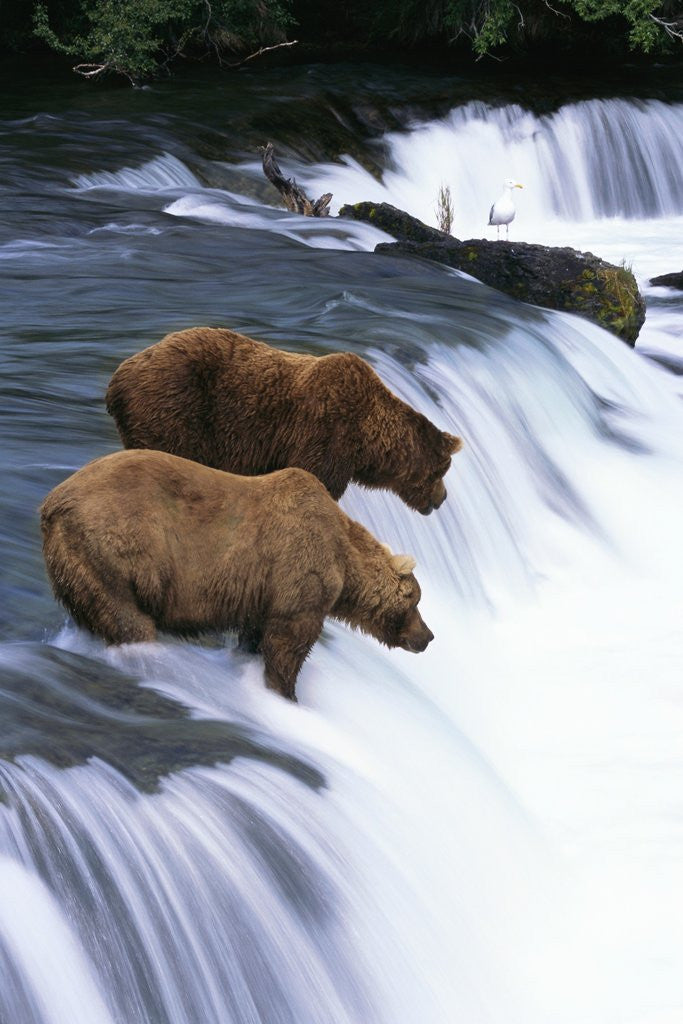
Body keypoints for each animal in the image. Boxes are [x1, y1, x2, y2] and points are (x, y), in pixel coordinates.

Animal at [40, 449, 434, 700]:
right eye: (415, 601)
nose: (427, 637)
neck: (343, 558)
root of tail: (51, 504)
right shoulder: (300, 573)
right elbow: (288, 644)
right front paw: (285, 693)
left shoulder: (264, 592)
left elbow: (256, 636)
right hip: (112, 550)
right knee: (129, 621)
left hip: (78, 567)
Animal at [105, 327, 462, 515]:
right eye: (442, 471)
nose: (443, 498)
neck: (366, 440)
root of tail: (118, 376)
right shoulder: (325, 433)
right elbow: (315, 480)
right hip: (175, 408)